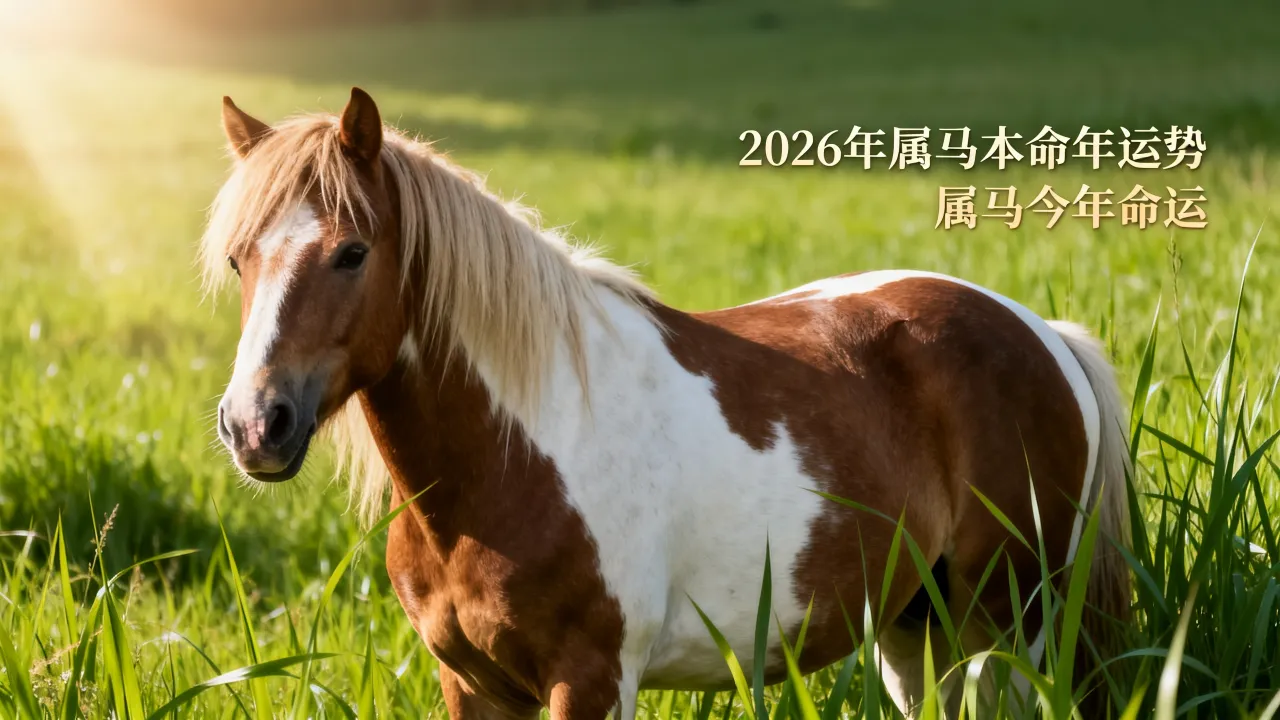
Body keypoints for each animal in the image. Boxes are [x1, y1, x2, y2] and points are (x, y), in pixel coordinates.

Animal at [205, 87, 1132, 719]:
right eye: (239, 258)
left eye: (352, 252)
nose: (256, 425)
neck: (516, 455)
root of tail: (1043, 334)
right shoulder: (471, 684)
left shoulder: (590, 680)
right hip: (918, 626)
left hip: (1013, 623)